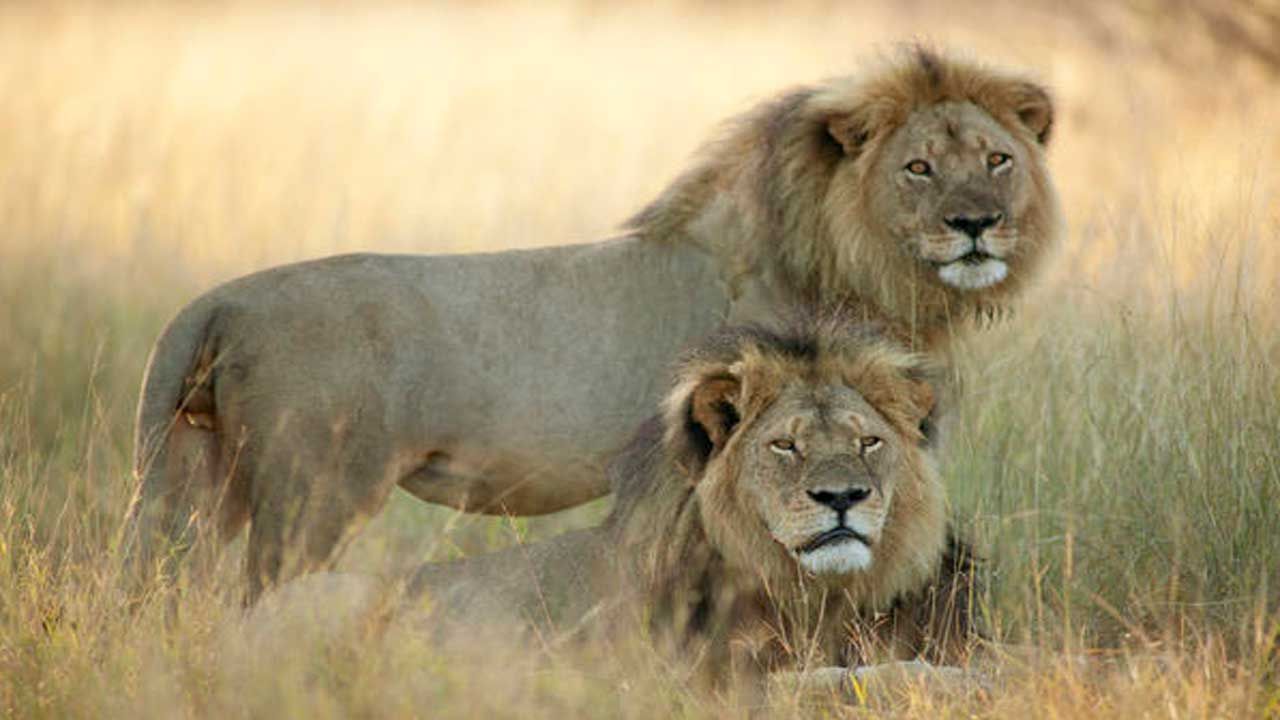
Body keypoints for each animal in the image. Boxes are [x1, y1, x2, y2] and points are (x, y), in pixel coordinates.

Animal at [122, 46, 1059, 603]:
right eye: (918, 168)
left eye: (998, 160)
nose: (976, 224)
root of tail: (218, 300)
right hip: (311, 494)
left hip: (198, 479)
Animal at [246, 318, 981, 703]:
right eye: (785, 445)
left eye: (868, 443)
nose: (843, 498)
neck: (808, 589)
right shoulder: (699, 683)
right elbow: (835, 681)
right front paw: (956, 683)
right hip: (331, 595)